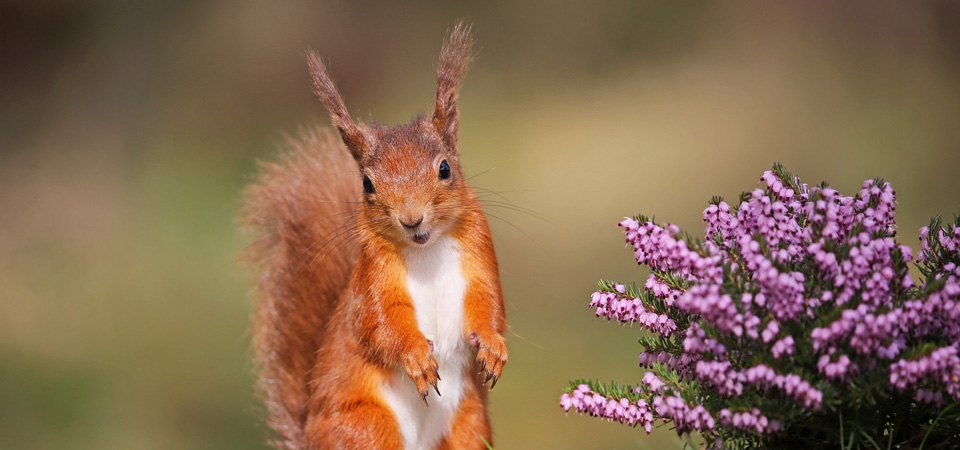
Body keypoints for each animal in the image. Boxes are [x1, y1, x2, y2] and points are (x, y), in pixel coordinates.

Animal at [244, 22, 506, 448]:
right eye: (367, 183)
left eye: (445, 169)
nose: (412, 220)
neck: (426, 252)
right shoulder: (372, 281)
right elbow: (381, 325)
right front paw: (417, 358)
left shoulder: (478, 255)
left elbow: (489, 303)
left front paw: (494, 347)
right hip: (366, 427)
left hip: (468, 424)